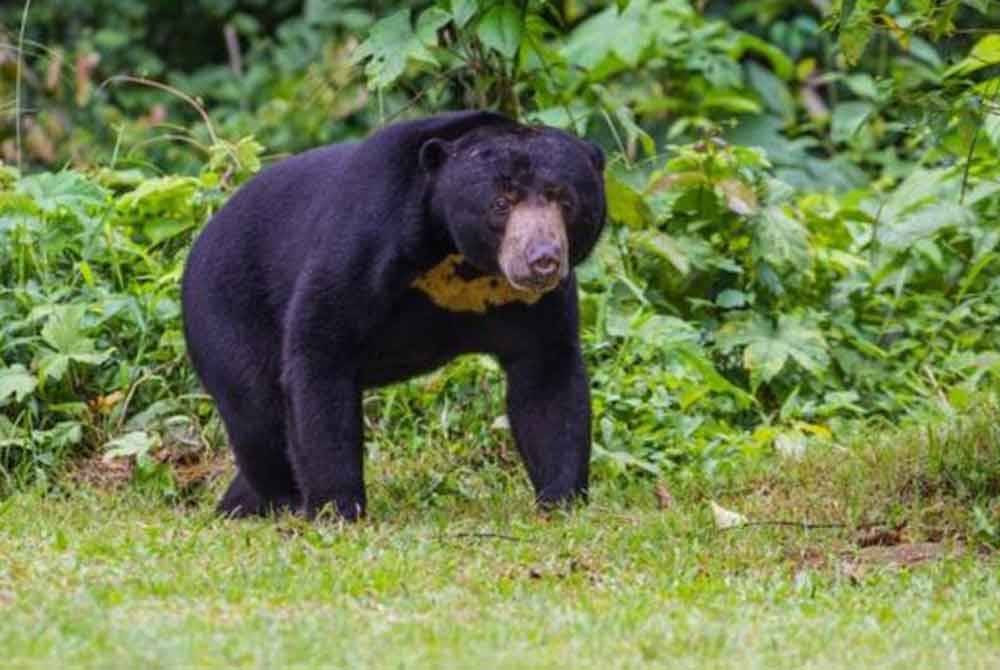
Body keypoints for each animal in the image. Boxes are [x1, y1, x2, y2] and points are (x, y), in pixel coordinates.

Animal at [182, 110, 608, 524]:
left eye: (565, 201)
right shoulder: (369, 236)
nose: (543, 259)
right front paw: (337, 509)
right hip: (227, 311)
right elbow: (320, 352)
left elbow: (547, 377)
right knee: (257, 415)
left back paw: (239, 505)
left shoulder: (533, 303)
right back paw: (280, 503)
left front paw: (561, 500)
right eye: (502, 203)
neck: (457, 257)